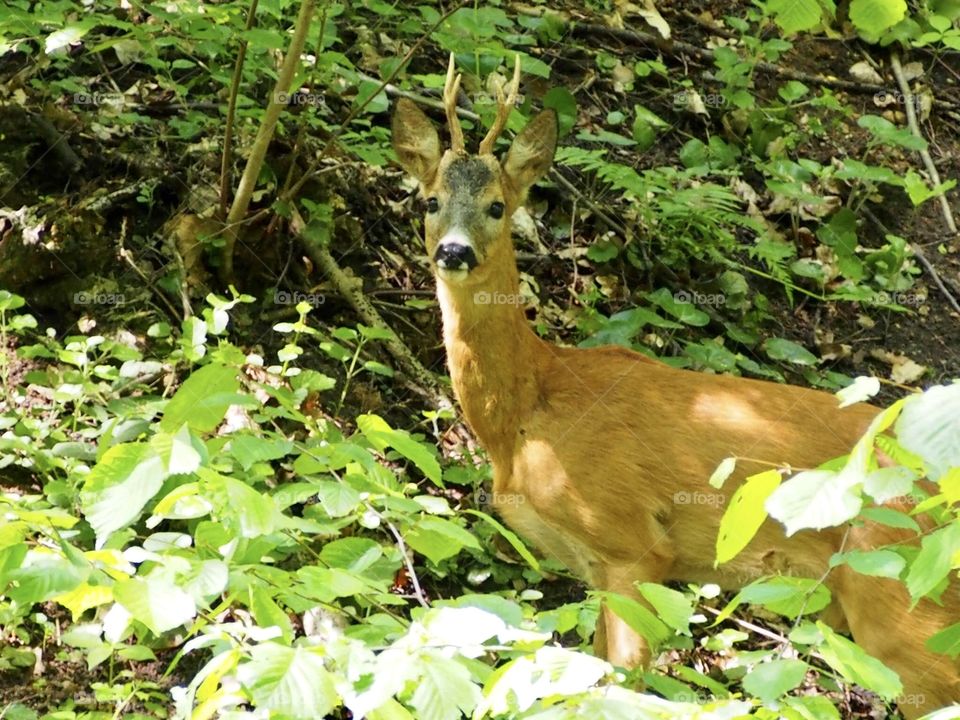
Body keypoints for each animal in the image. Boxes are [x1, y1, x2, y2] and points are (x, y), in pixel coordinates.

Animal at [391, 54, 960, 716]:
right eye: (429, 201)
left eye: (497, 206)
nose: (454, 252)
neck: (530, 415)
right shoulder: (595, 567)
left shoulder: (631, 541)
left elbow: (621, 683)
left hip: (901, 593)